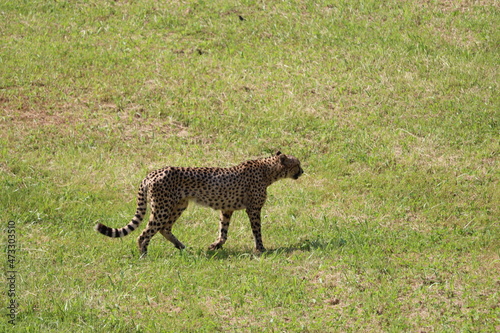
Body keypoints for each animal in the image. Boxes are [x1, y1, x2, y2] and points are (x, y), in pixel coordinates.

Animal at [95, 152, 302, 255]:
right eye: (297, 164)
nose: (303, 171)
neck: (269, 170)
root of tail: (152, 173)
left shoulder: (226, 209)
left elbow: (223, 231)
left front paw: (216, 246)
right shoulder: (253, 209)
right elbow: (257, 231)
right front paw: (261, 249)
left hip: (177, 206)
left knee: (164, 228)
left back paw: (182, 247)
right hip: (162, 208)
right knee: (145, 232)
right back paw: (143, 254)